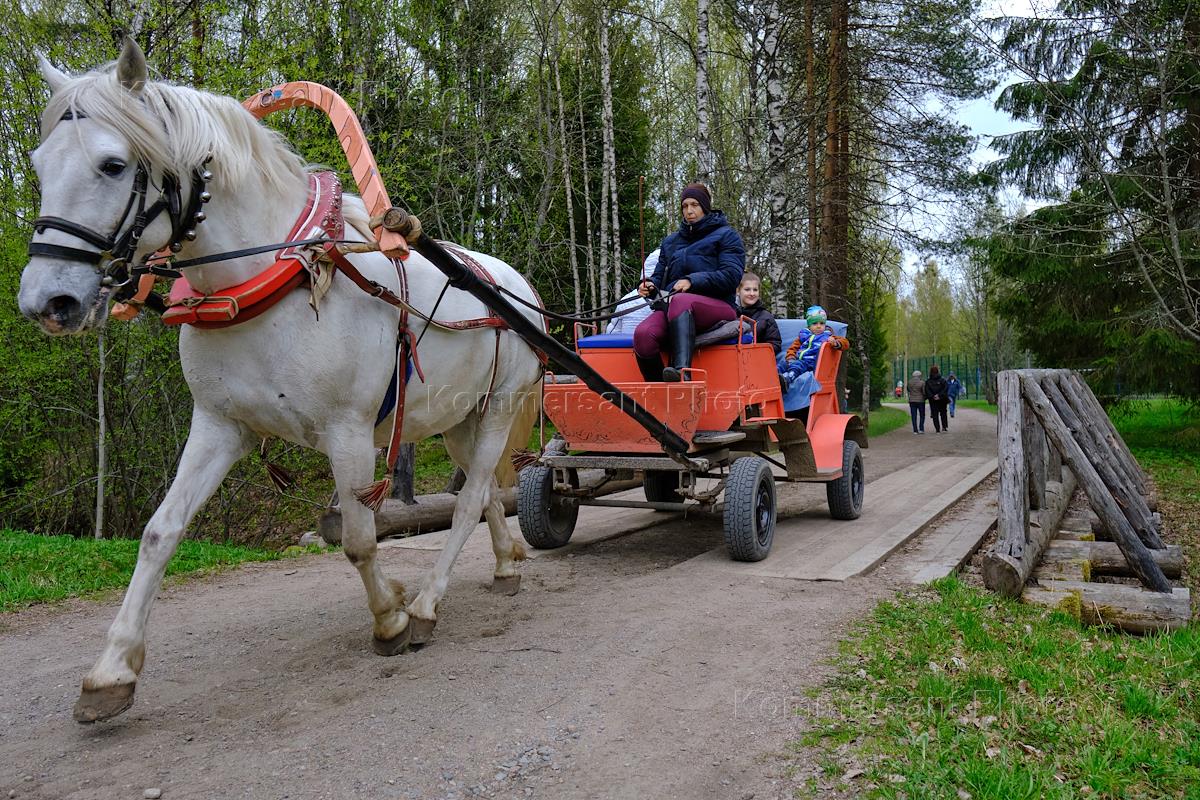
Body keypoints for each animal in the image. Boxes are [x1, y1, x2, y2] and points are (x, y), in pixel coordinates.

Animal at [16, 40, 542, 724]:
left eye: (112, 164)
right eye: (39, 164)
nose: (46, 301)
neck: (270, 280)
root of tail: (520, 289)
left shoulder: (348, 432)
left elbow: (359, 541)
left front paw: (392, 616)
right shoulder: (219, 425)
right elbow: (159, 533)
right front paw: (112, 670)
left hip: (501, 406)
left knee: (472, 495)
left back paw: (428, 603)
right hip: (457, 418)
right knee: (480, 495)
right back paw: (503, 564)